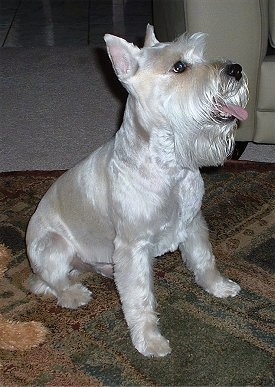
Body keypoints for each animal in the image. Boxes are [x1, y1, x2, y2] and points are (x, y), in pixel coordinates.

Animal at [25, 25, 250, 358]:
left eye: (201, 55)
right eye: (179, 67)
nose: (236, 69)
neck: (169, 165)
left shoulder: (193, 223)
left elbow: (204, 259)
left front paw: (219, 287)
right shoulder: (133, 246)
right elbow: (139, 298)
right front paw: (150, 341)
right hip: (53, 246)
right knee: (53, 282)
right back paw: (76, 295)